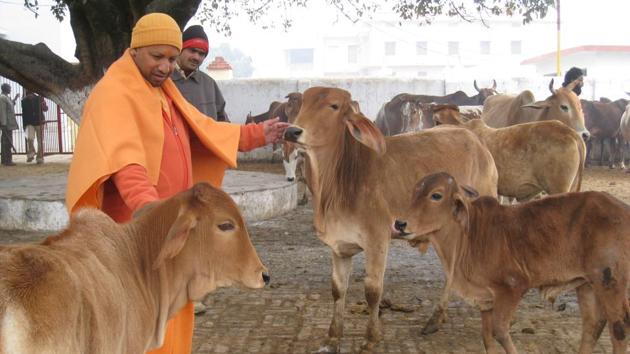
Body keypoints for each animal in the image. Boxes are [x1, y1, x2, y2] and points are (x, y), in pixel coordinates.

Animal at [284, 87, 502, 352]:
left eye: (333, 106)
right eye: (303, 103)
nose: (292, 131)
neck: (339, 182)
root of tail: (475, 140)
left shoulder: (377, 239)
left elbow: (372, 291)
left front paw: (371, 337)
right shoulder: (339, 246)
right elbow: (338, 289)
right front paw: (333, 337)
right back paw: (436, 318)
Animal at [398, 173, 630, 354]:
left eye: (436, 195)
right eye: (414, 193)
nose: (400, 223)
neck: (468, 235)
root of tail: (623, 209)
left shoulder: (511, 288)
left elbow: (500, 331)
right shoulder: (486, 299)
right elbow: (487, 337)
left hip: (610, 281)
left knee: (619, 329)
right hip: (586, 284)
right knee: (593, 325)